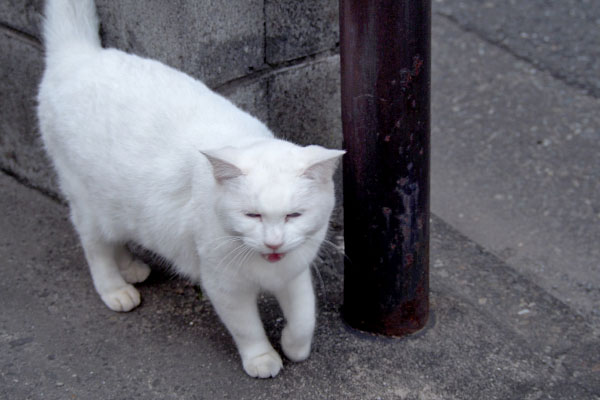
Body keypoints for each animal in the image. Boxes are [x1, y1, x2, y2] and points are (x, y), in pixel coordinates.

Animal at [37, 0, 344, 378]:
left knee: (117, 237)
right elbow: (247, 327)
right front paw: (261, 358)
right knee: (96, 247)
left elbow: (304, 318)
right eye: (252, 215)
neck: (266, 266)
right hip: (88, 202)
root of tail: (80, 54)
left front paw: (293, 346)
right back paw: (116, 289)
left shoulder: (294, 272)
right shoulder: (224, 286)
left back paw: (132, 267)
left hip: (122, 206)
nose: (273, 243)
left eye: (294, 215)